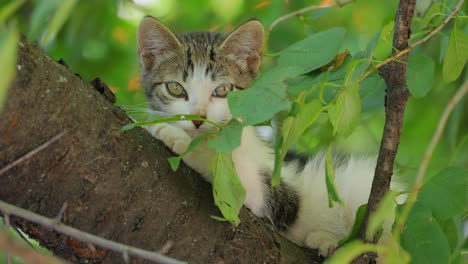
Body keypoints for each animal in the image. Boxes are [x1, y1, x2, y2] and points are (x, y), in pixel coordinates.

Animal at [135, 16, 398, 256]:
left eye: (223, 90)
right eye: (175, 88)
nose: (199, 119)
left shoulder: (274, 193)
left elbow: (234, 179)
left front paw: (179, 139)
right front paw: (155, 124)